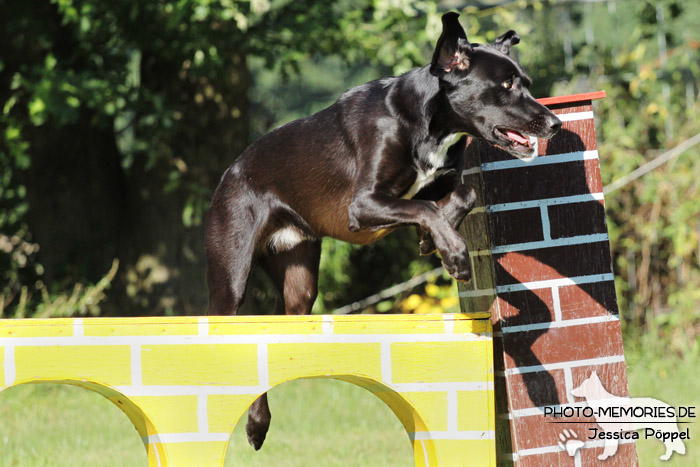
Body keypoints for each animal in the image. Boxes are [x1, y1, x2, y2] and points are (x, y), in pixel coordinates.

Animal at [205, 11, 560, 450]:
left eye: (524, 81)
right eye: (507, 86)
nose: (555, 124)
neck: (429, 122)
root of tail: (229, 172)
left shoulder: (436, 183)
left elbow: (462, 193)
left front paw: (435, 241)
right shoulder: (364, 205)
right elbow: (424, 207)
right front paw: (455, 255)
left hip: (299, 285)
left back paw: (258, 423)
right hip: (231, 278)